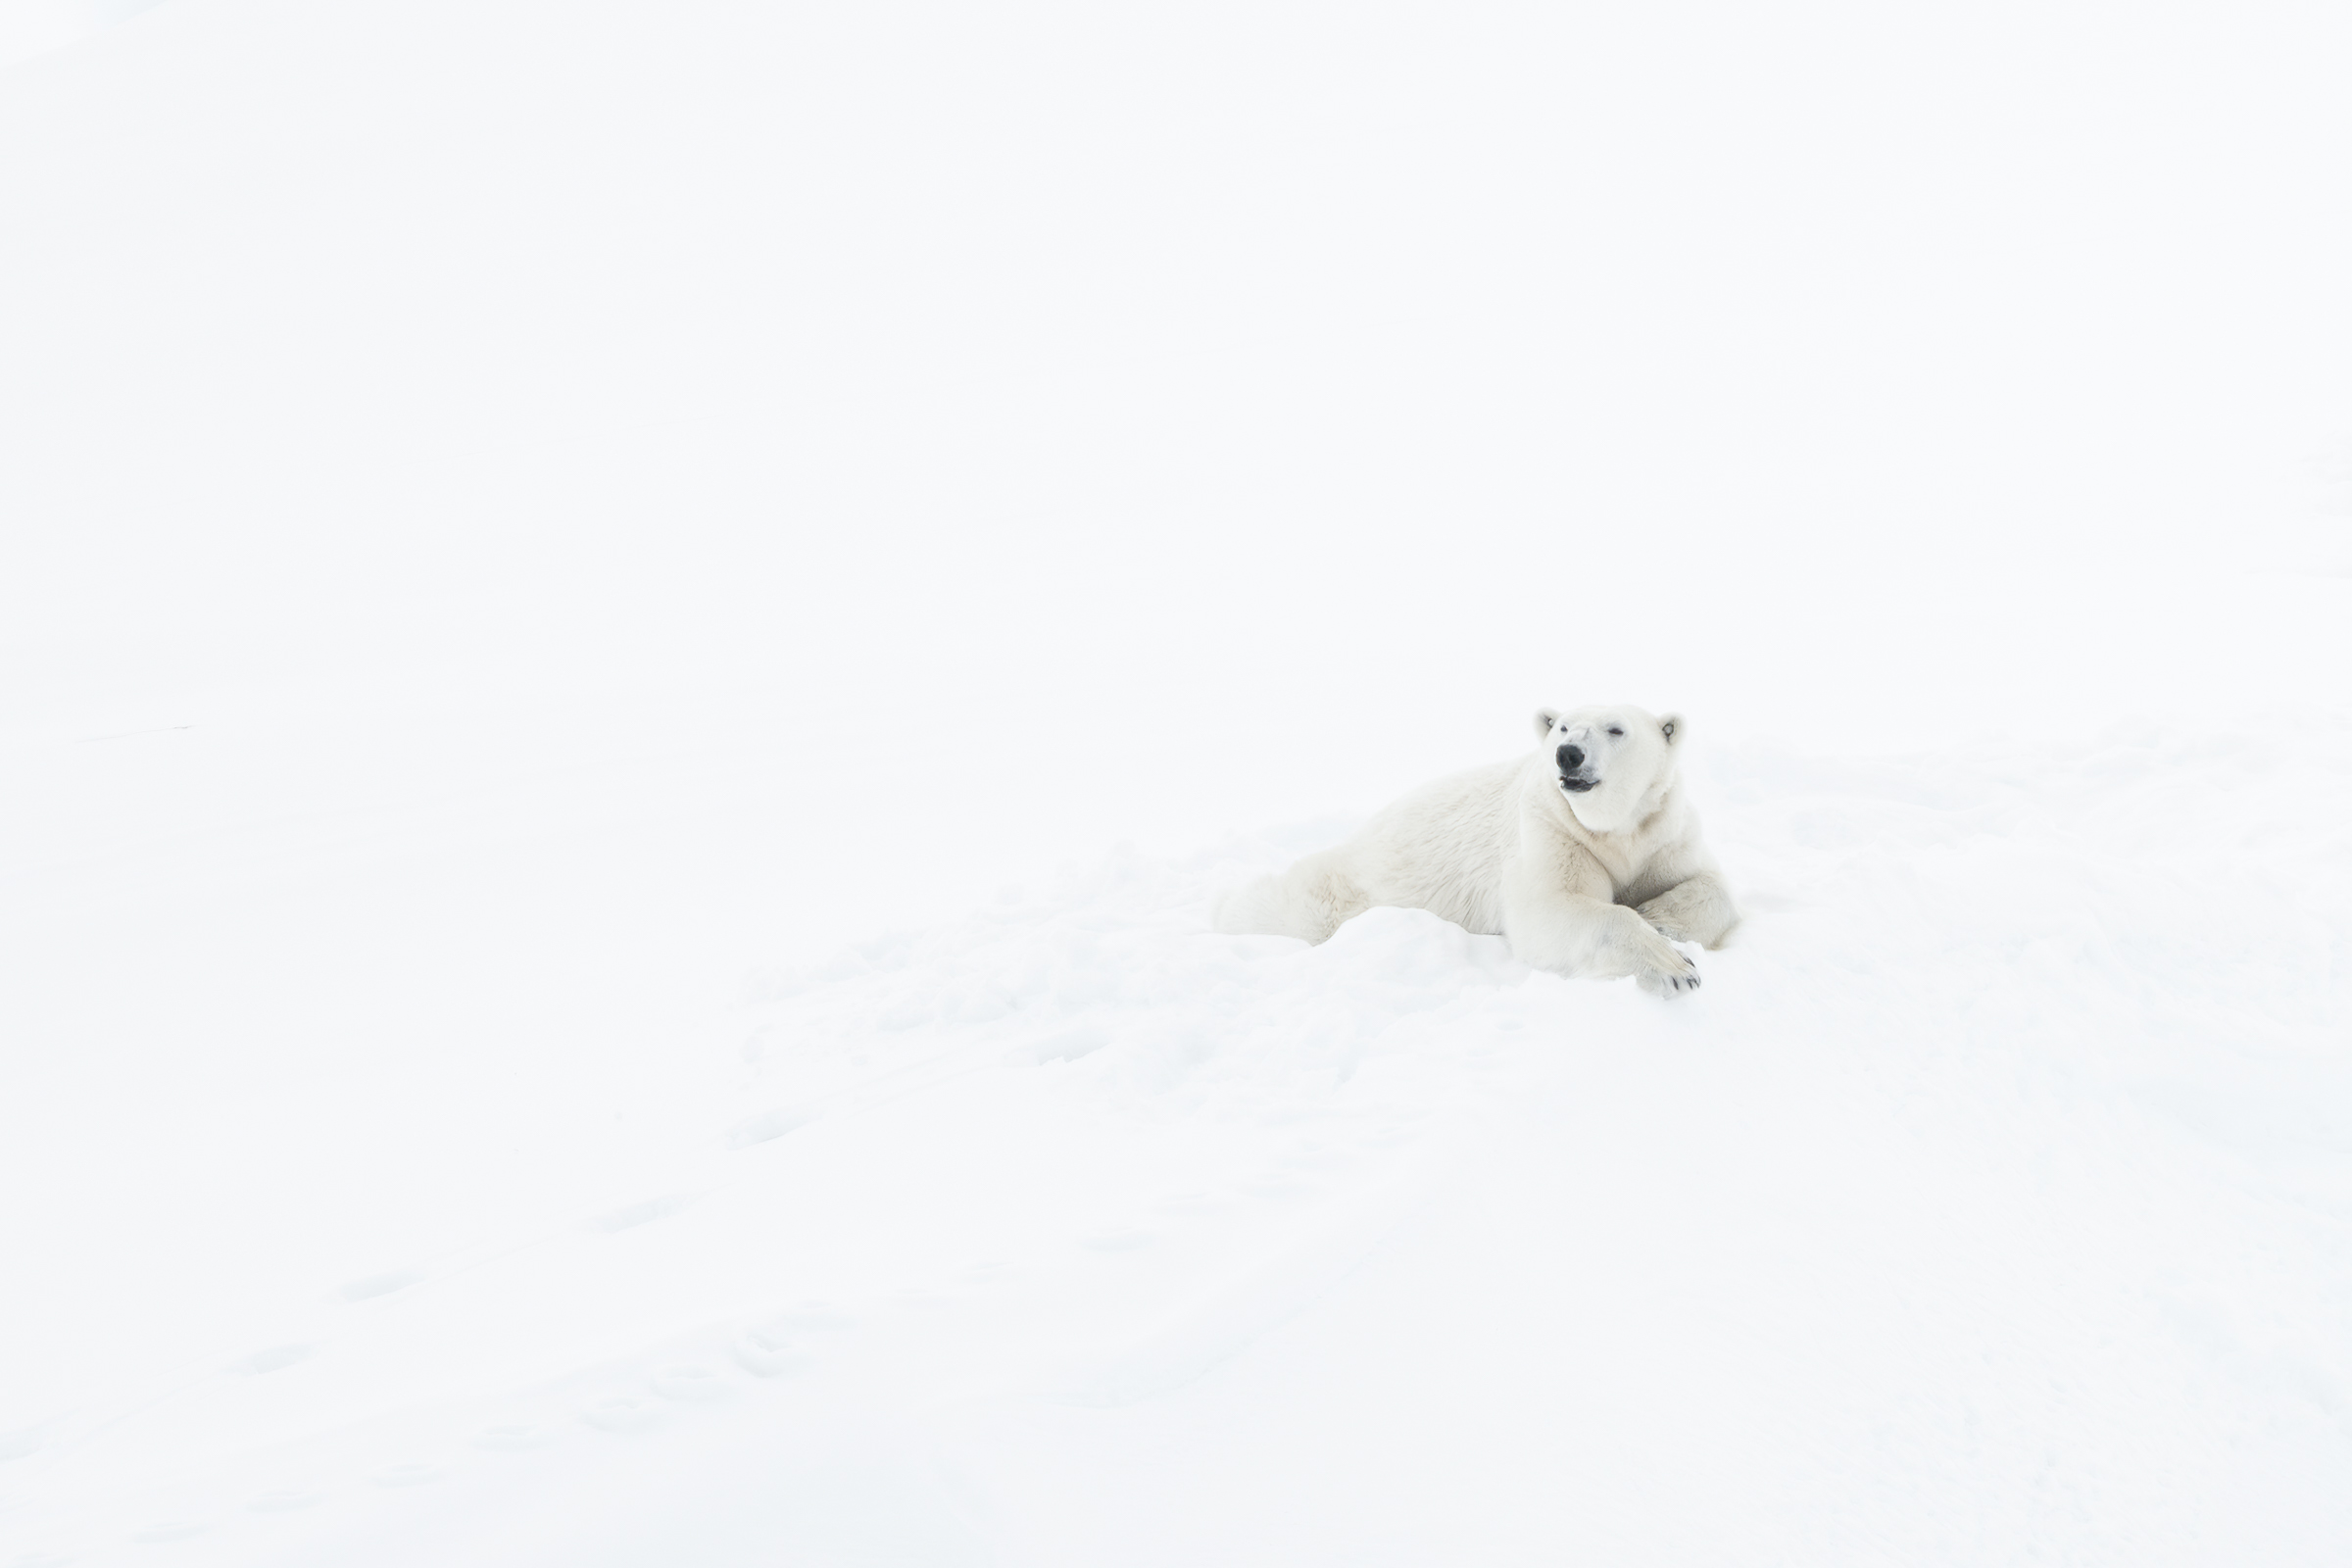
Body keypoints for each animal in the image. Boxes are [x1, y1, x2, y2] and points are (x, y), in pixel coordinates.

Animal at [1213, 705, 1738, 995]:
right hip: (1349, 884)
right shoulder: (1551, 829)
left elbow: (1712, 885)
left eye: (1616, 729)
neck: (1612, 829)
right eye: (1562, 727)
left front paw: (1657, 916)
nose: (1568, 756)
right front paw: (1674, 966)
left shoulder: (1662, 831)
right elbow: (1549, 909)